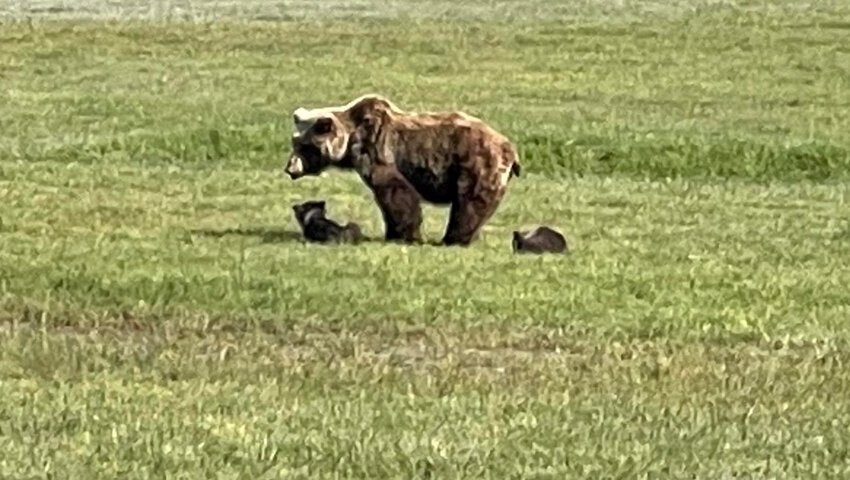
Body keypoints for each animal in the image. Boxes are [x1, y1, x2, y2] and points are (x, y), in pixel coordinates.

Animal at [284, 96, 516, 249]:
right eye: (294, 142)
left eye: (305, 146)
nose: (290, 168)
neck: (352, 140)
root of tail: (509, 147)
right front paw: (394, 233)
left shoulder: (379, 151)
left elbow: (396, 193)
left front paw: (406, 235)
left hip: (476, 164)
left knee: (470, 203)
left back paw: (455, 239)